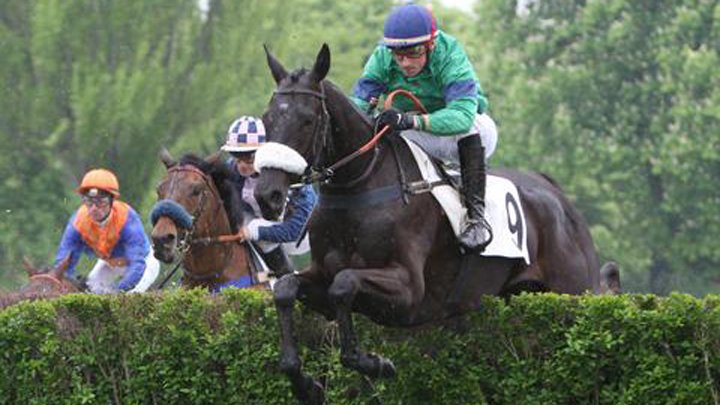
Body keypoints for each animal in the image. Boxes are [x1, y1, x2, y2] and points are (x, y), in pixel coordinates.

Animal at [254, 44, 620, 403]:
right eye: (266, 119)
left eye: (307, 120)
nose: (266, 194)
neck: (360, 186)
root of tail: (557, 194)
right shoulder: (321, 274)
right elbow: (286, 289)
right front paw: (306, 384)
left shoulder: (409, 292)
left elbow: (344, 285)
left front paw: (375, 363)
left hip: (573, 294)